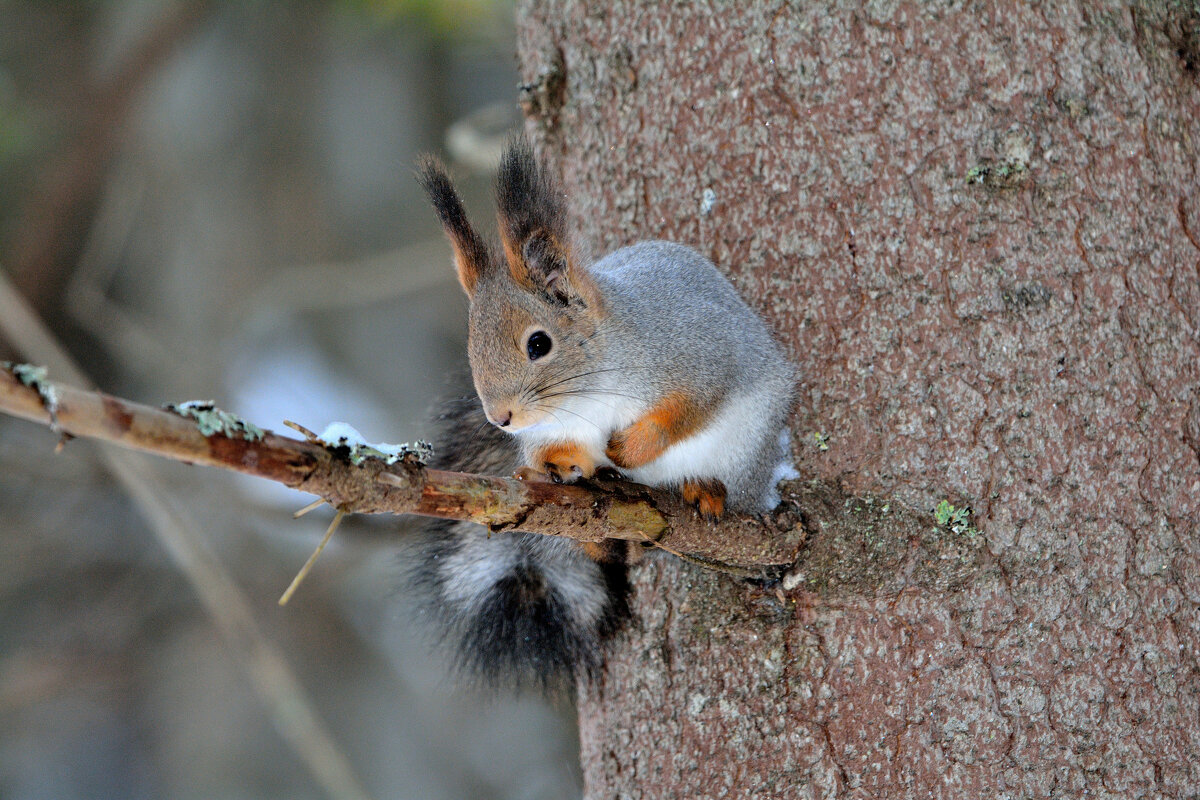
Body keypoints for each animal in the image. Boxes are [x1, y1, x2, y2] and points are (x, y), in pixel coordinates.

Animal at [408, 137, 792, 690]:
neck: (589, 393)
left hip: (748, 446)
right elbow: (559, 449)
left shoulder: (700, 361)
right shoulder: (555, 429)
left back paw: (705, 490)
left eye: (539, 343)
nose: (500, 419)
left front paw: (626, 448)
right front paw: (556, 466)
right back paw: (609, 540)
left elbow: (685, 412)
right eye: (472, 348)